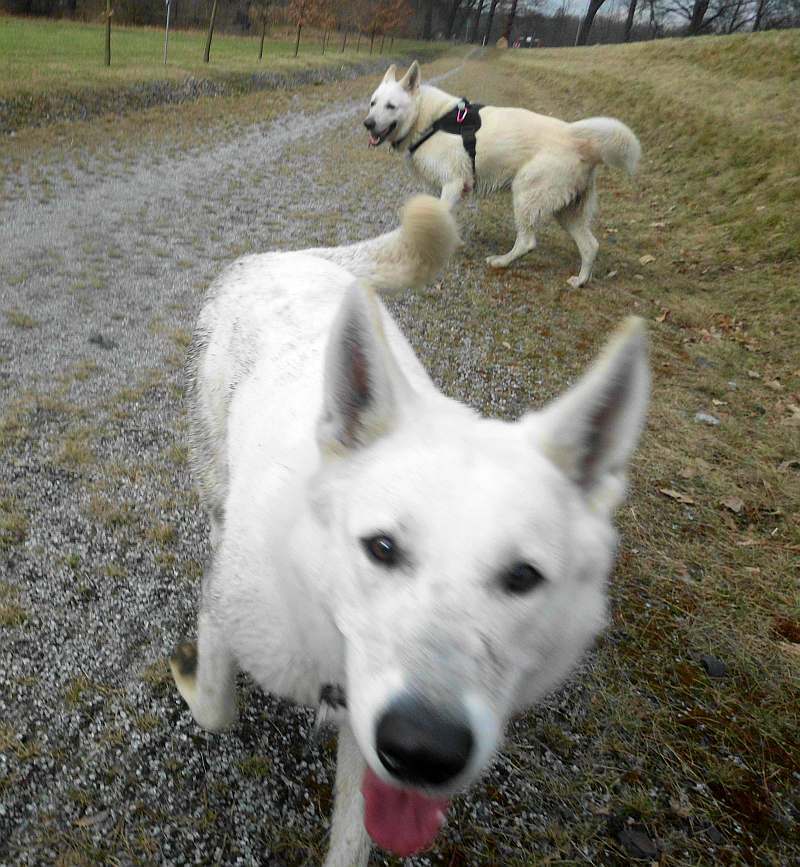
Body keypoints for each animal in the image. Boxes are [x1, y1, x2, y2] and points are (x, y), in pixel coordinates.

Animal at [169, 193, 648, 864]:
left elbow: (353, 837)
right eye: (382, 548)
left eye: (523, 577)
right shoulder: (226, 611)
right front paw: (190, 676)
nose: (424, 751)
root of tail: (288, 256)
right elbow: (215, 707)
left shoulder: (365, 731)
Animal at [366, 62, 640, 292]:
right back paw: (580, 281)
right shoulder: (444, 189)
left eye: (390, 106)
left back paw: (501, 261)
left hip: (525, 196)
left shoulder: (453, 184)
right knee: (590, 246)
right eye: (372, 103)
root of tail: (578, 139)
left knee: (527, 242)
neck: (429, 119)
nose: (367, 124)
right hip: (567, 212)